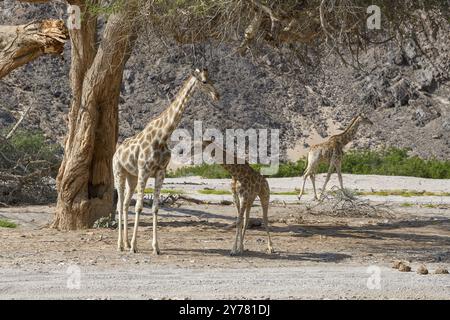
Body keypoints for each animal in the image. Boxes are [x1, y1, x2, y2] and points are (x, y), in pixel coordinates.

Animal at [113, 69, 221, 254]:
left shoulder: (160, 172)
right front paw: (134, 246)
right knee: (120, 204)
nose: (217, 95)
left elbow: (155, 207)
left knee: (126, 204)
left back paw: (125, 243)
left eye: (212, 78)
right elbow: (140, 207)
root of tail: (116, 152)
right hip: (119, 172)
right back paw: (120, 244)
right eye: (205, 81)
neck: (162, 136)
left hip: (131, 177)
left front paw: (155, 247)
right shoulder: (144, 171)